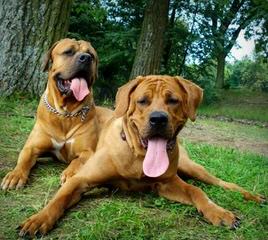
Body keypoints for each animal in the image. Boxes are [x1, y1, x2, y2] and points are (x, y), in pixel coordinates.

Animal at [1, 38, 112, 190]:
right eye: (68, 52)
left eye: (91, 55)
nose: (86, 58)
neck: (65, 113)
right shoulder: (32, 147)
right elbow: (24, 159)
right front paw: (15, 175)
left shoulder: (88, 151)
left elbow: (78, 161)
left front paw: (71, 173)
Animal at [18, 76, 264, 237]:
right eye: (142, 101)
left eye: (173, 100)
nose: (158, 119)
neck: (138, 156)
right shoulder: (81, 180)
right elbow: (59, 199)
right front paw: (38, 220)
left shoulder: (167, 183)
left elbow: (197, 191)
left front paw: (218, 212)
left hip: (192, 168)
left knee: (221, 183)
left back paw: (252, 196)